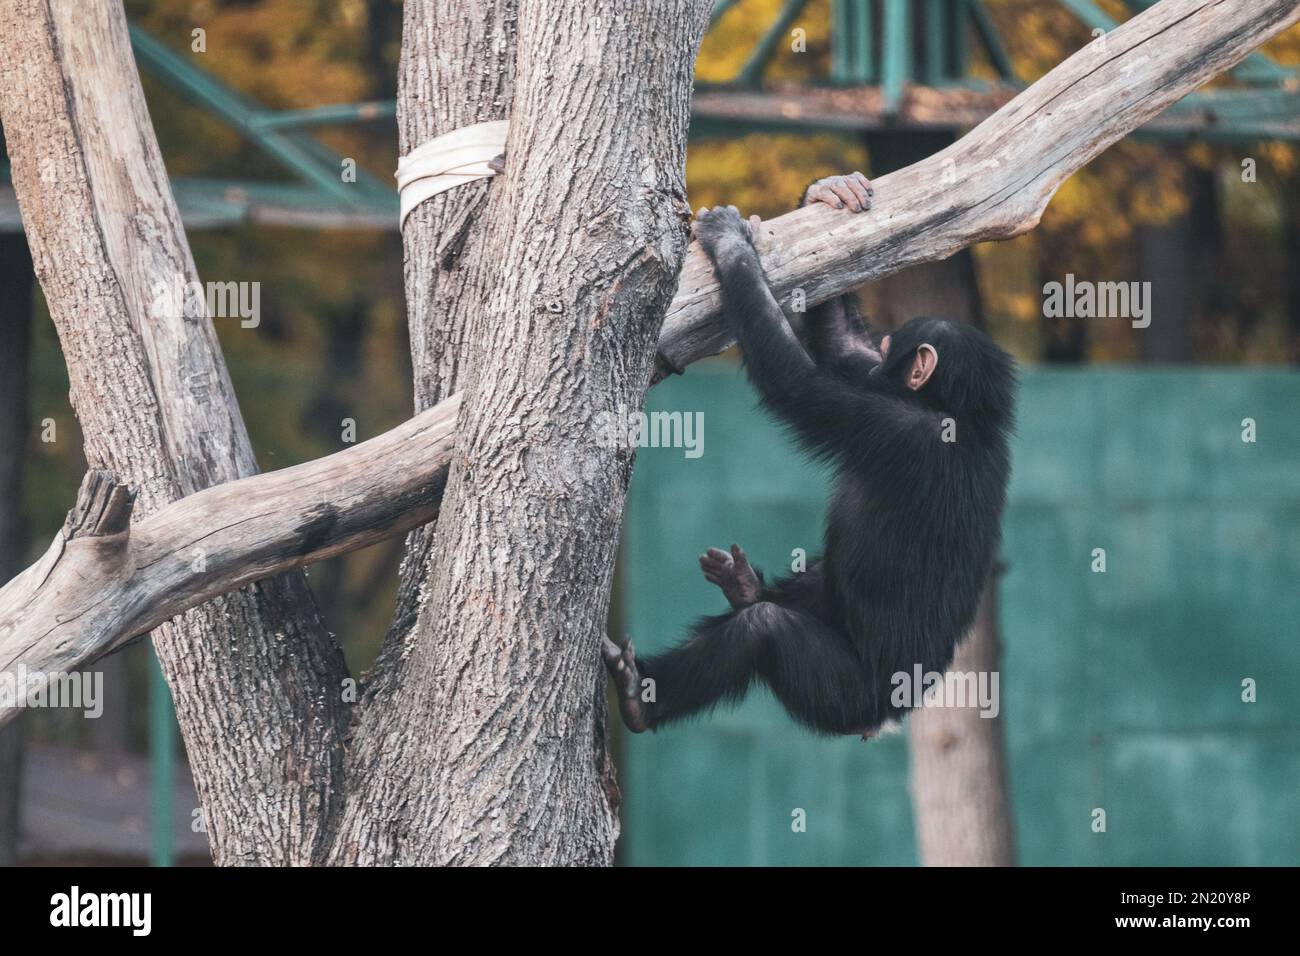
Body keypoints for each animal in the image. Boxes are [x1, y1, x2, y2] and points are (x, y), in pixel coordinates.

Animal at [603, 174, 1019, 738]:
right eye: (884, 348)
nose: (882, 356)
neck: (963, 417)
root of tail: (887, 717)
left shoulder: (893, 427)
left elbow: (797, 381)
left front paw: (730, 242)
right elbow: (843, 352)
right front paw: (831, 191)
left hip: (839, 696)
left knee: (761, 631)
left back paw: (641, 693)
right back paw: (745, 587)